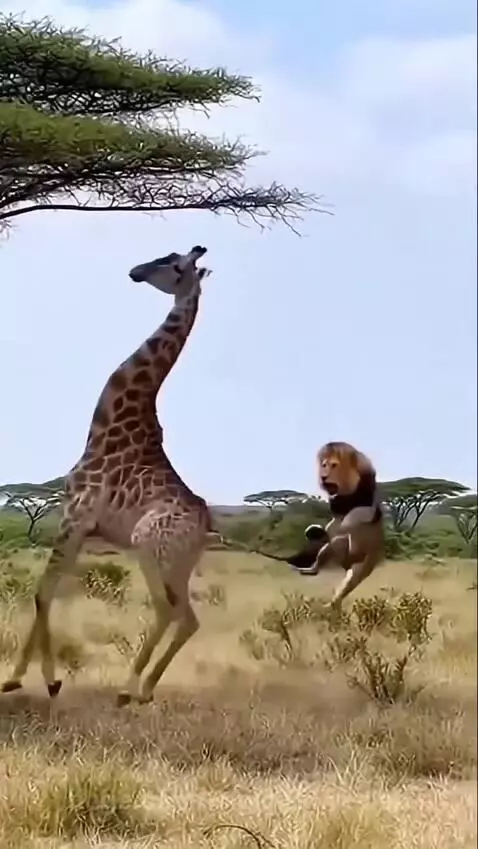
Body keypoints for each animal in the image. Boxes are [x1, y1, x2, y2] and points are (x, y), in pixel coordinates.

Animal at [2, 245, 213, 706]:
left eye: (174, 265)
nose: (135, 271)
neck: (109, 422)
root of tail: (205, 525)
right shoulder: (83, 527)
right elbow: (47, 591)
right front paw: (29, 679)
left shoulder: (74, 514)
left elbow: (42, 592)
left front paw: (34, 679)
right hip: (178, 564)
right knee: (188, 617)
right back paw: (145, 689)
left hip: (149, 547)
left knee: (167, 608)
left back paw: (127, 688)